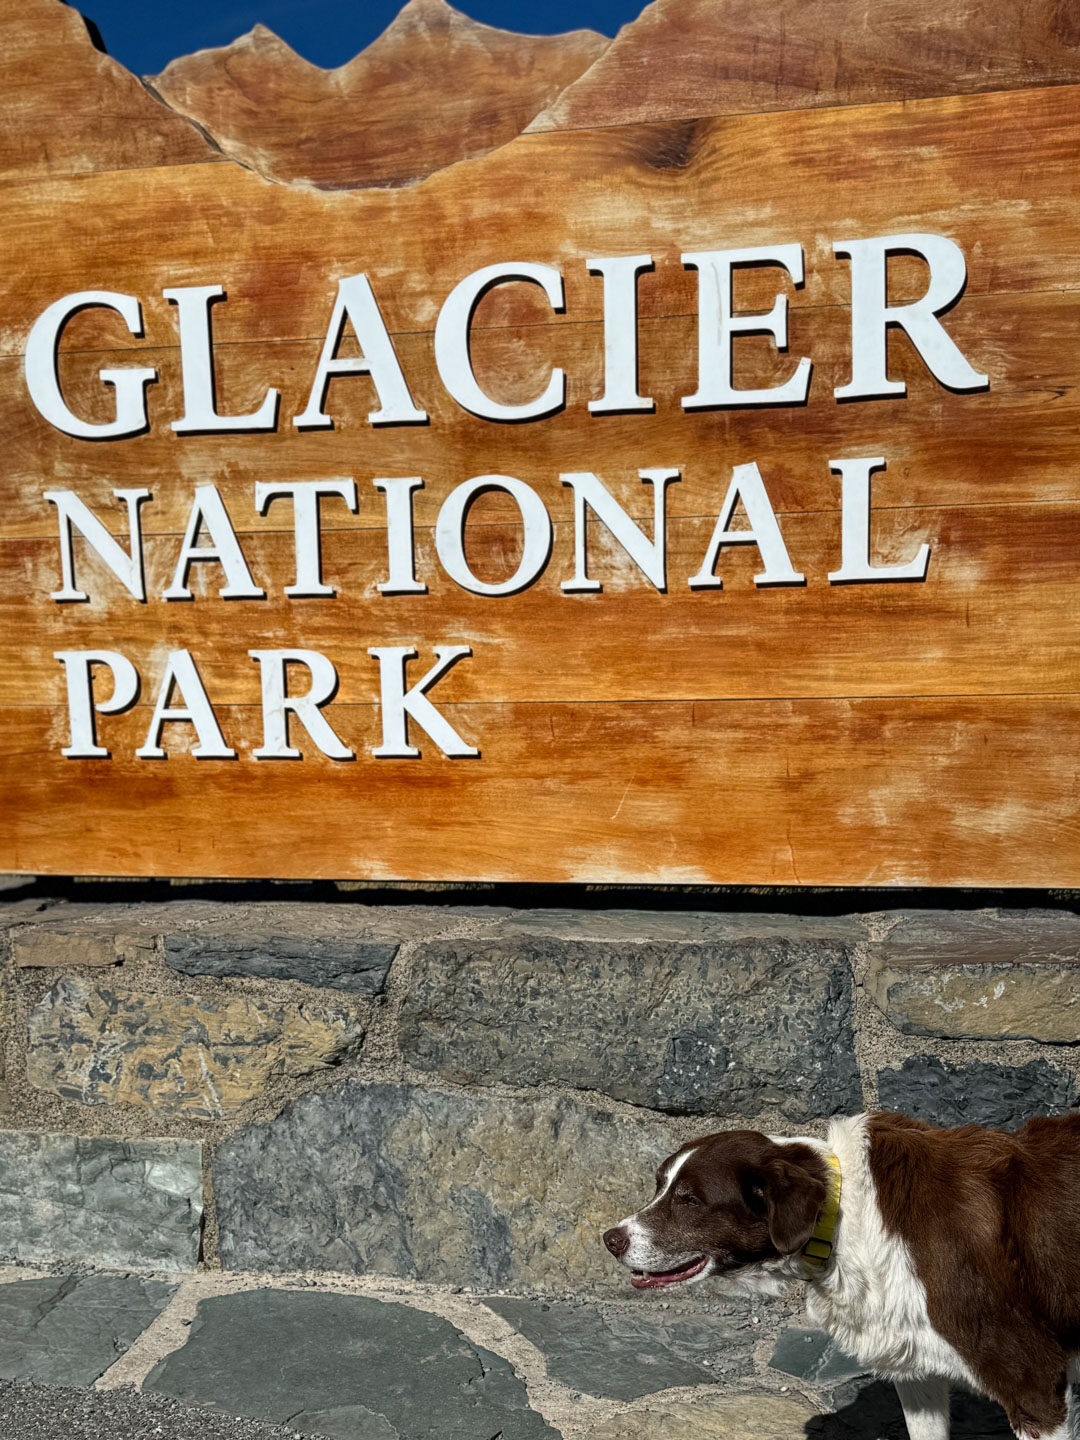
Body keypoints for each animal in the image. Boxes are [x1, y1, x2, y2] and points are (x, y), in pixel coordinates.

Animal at [604, 1111, 1080, 1440]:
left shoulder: (1034, 1380)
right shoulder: (916, 1366)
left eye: (689, 1200)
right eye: (660, 1187)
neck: (841, 1215)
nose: (610, 1239)